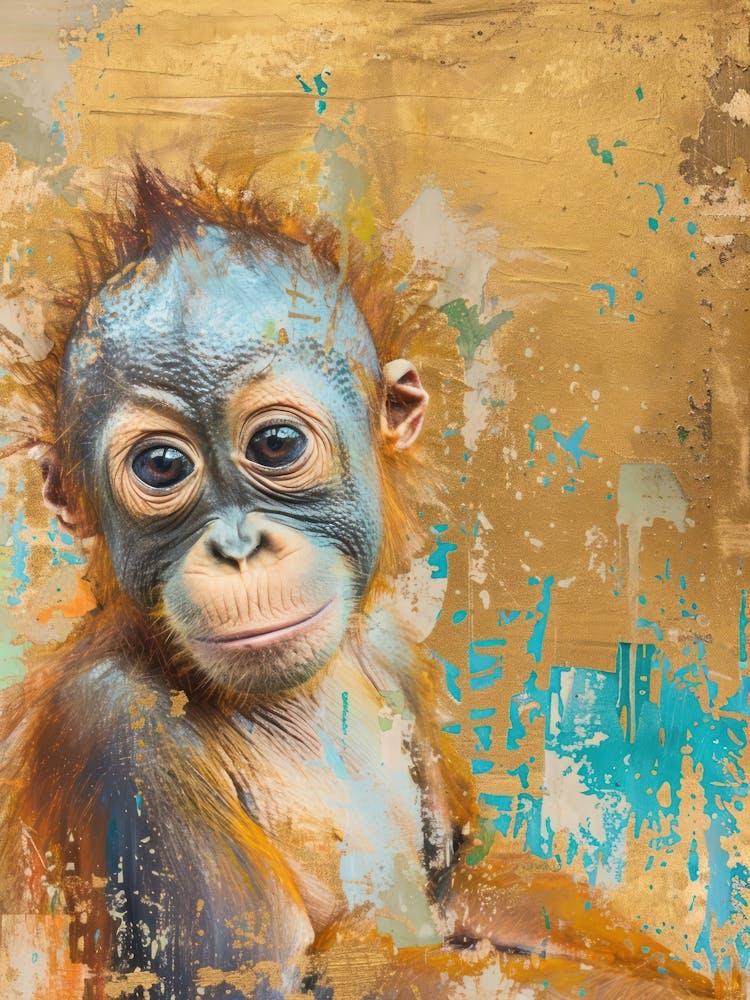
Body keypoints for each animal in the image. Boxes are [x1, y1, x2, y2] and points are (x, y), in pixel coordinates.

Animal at [0, 165, 720, 1000]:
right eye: (163, 466)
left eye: (276, 444)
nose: (239, 547)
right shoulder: (115, 735)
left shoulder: (392, 650)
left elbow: (466, 871)